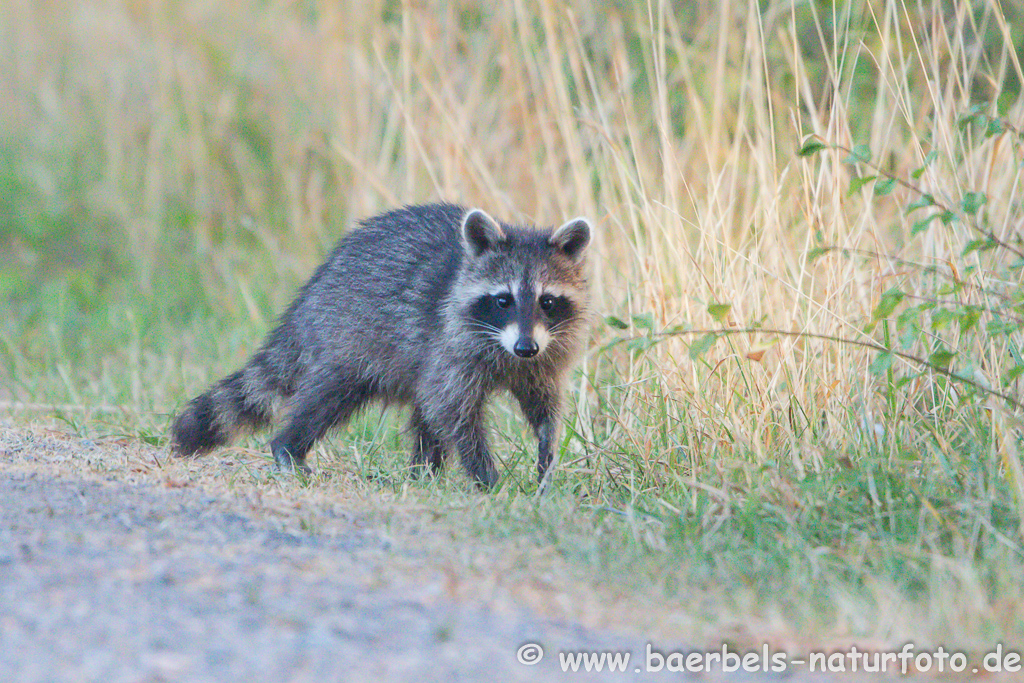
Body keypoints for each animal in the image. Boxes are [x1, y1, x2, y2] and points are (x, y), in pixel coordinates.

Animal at [169, 200, 593, 489]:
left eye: (547, 301)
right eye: (503, 300)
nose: (525, 348)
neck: (507, 351)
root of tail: (311, 293)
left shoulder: (546, 355)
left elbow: (543, 406)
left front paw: (546, 457)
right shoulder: (451, 345)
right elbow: (455, 413)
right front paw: (485, 475)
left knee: (423, 412)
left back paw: (424, 473)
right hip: (348, 337)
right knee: (329, 398)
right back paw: (289, 447)